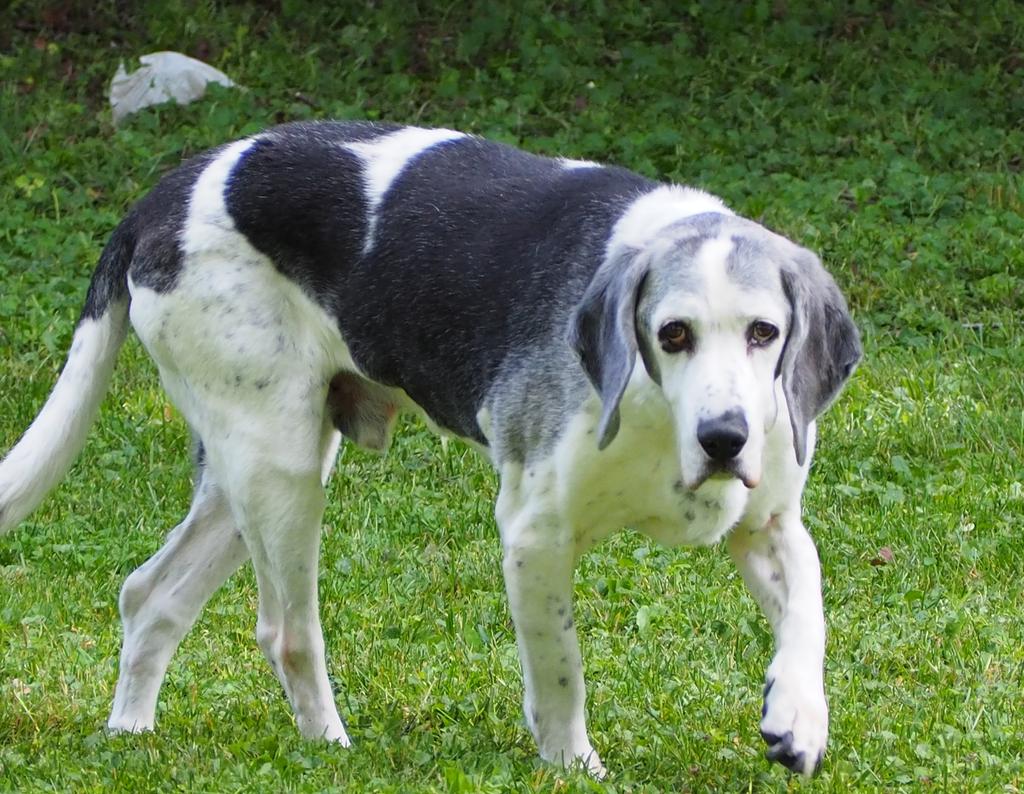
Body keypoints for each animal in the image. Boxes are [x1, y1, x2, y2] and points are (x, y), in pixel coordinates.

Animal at [0, 121, 861, 778]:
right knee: (287, 633)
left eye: (764, 332)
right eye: (672, 333)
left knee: (150, 595)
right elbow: (561, 671)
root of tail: (163, 195)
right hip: (280, 469)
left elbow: (811, 612)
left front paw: (799, 717)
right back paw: (331, 748)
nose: (725, 437)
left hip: (250, 473)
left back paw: (130, 734)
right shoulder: (534, 534)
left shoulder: (771, 526)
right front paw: (572, 766)